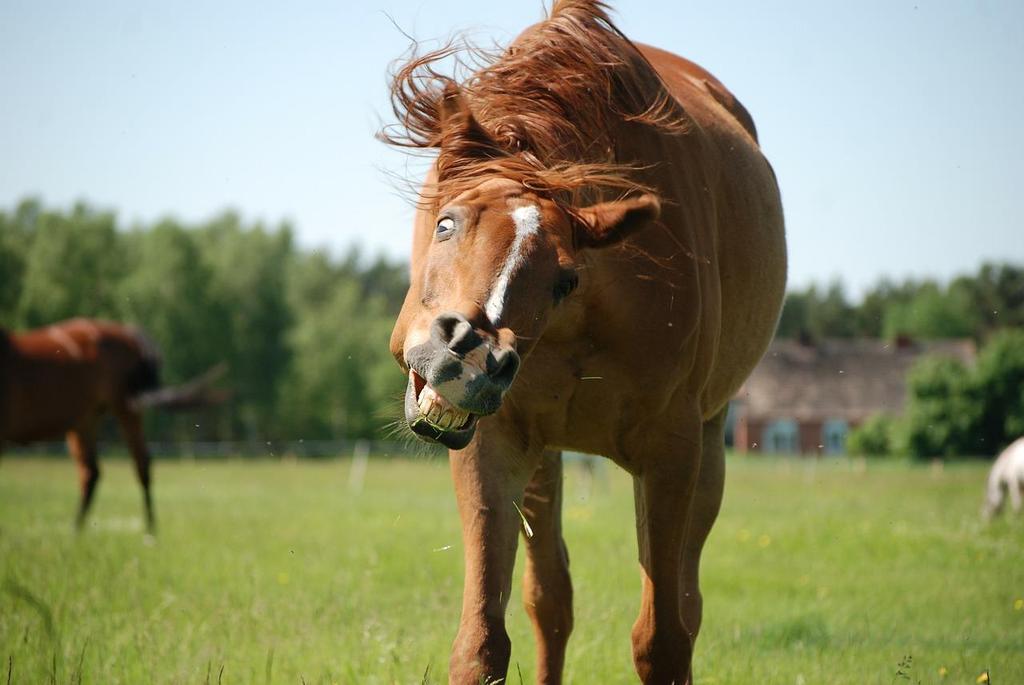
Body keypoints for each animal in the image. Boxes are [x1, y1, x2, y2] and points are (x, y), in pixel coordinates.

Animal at [1, 317, 224, 532]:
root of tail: (127, 333)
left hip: (123, 407)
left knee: (138, 464)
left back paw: (149, 530)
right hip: (86, 420)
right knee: (91, 472)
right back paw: (76, 531)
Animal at [387, 2, 786, 679]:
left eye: (564, 279)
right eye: (446, 224)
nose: (469, 356)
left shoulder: (671, 453)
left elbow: (663, 638)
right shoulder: (492, 445)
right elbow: (485, 641)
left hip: (709, 449)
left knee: (687, 602)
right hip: (544, 459)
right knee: (552, 601)